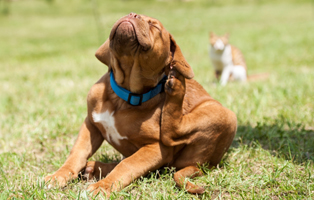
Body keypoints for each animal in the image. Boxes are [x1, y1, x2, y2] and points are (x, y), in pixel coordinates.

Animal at [43, 12, 236, 197]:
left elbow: (128, 165)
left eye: (154, 26)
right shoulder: (91, 124)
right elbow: (77, 153)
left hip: (224, 115)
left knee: (172, 134)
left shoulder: (156, 149)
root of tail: (203, 165)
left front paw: (103, 187)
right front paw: (59, 175)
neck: (123, 96)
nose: (132, 14)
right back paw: (93, 168)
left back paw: (177, 86)